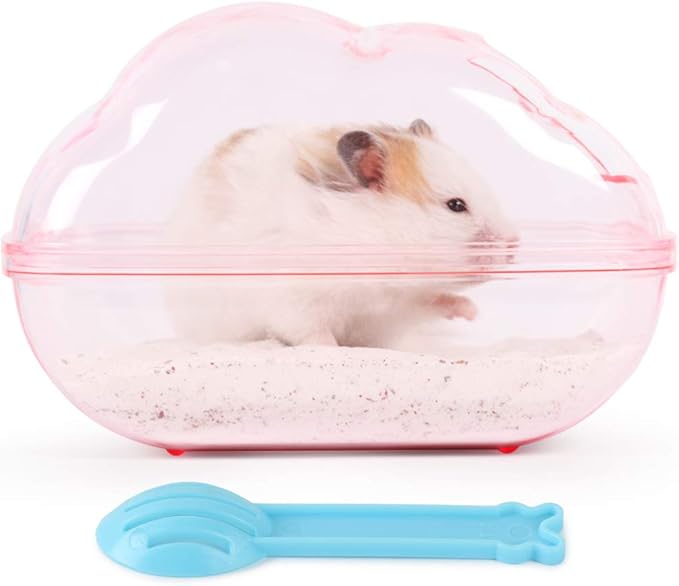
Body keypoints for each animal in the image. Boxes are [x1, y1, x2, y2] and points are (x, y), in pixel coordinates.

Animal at [165, 119, 519, 347]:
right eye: (456, 205)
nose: (514, 246)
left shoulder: (400, 306)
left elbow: (436, 301)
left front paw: (471, 313)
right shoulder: (293, 297)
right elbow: (310, 332)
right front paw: (332, 350)